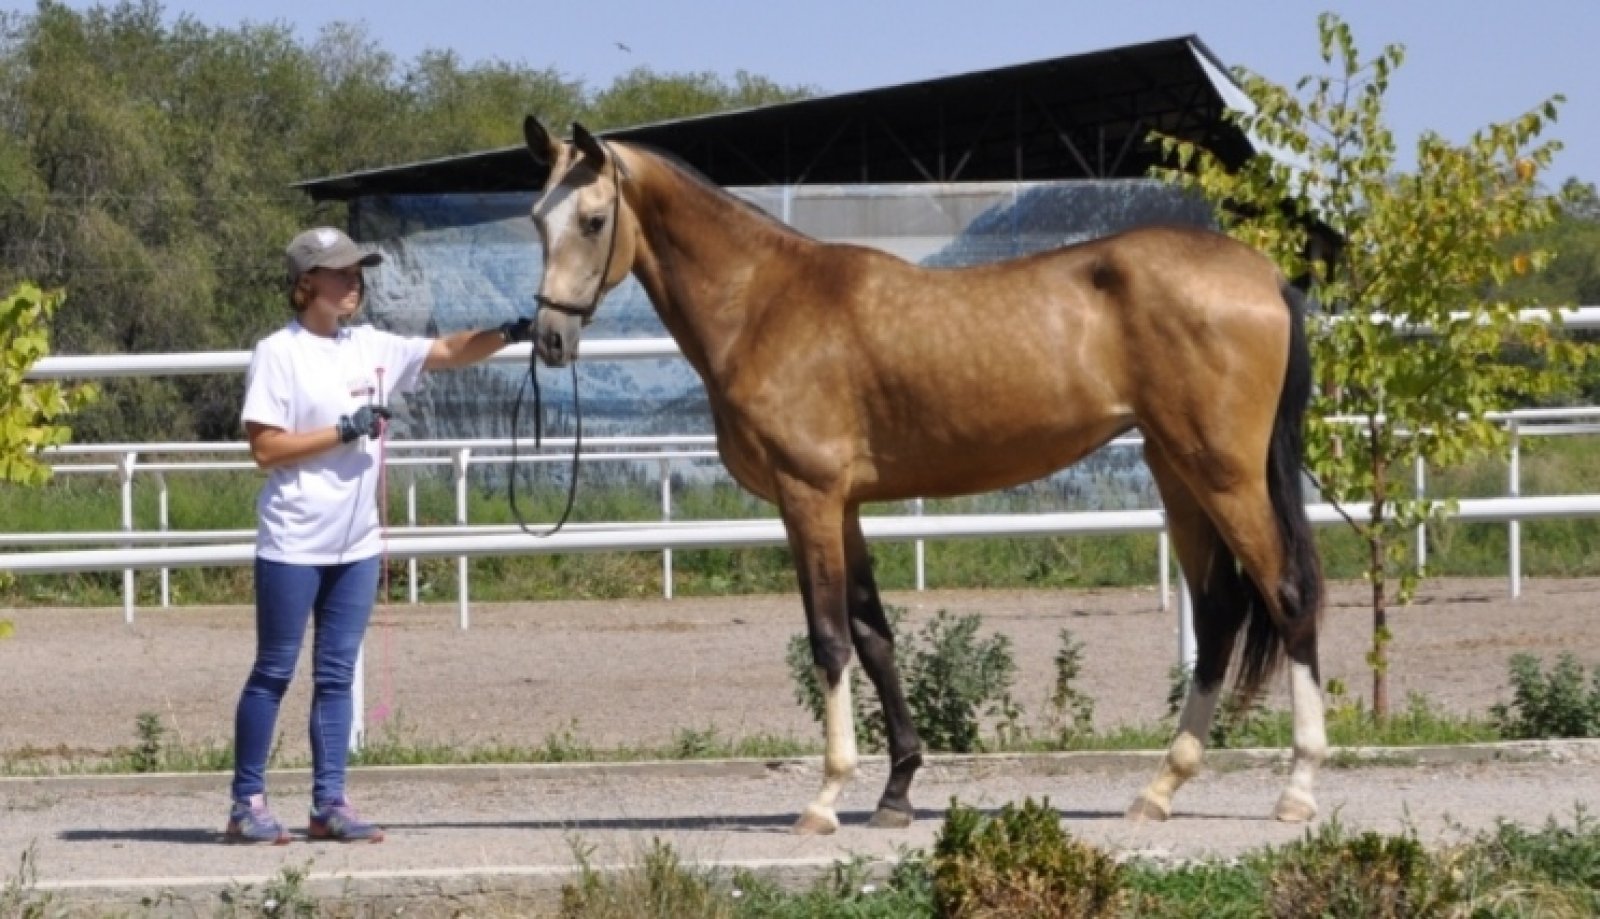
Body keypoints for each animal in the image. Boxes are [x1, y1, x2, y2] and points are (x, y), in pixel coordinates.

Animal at [520, 116, 1326, 835]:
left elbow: (829, 638)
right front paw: (897, 791)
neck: (765, 301)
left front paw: (826, 797)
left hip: (1224, 476)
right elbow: (874, 636)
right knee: (1219, 615)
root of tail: (1265, 276)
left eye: (593, 219)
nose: (550, 338)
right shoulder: (845, 506)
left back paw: (1297, 787)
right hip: (1178, 473)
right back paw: (1160, 788)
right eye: (535, 220)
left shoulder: (808, 497)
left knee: (1288, 596)